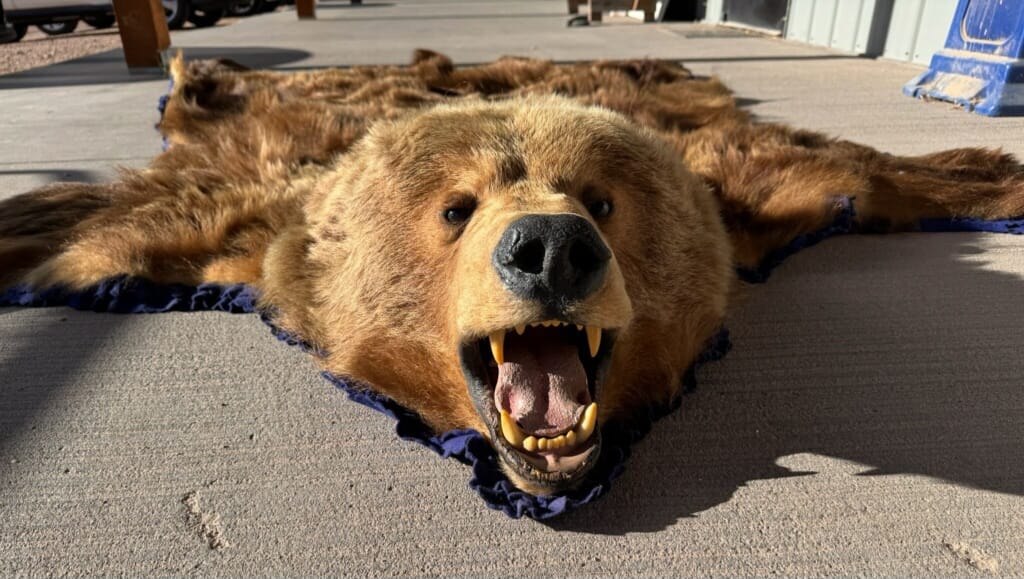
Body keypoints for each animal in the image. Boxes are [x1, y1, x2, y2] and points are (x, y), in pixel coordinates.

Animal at [1, 51, 1022, 496]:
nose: (550, 247)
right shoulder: (234, 211)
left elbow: (849, 171)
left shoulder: (744, 193)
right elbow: (98, 230)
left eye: (601, 200)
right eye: (455, 208)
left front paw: (989, 171)